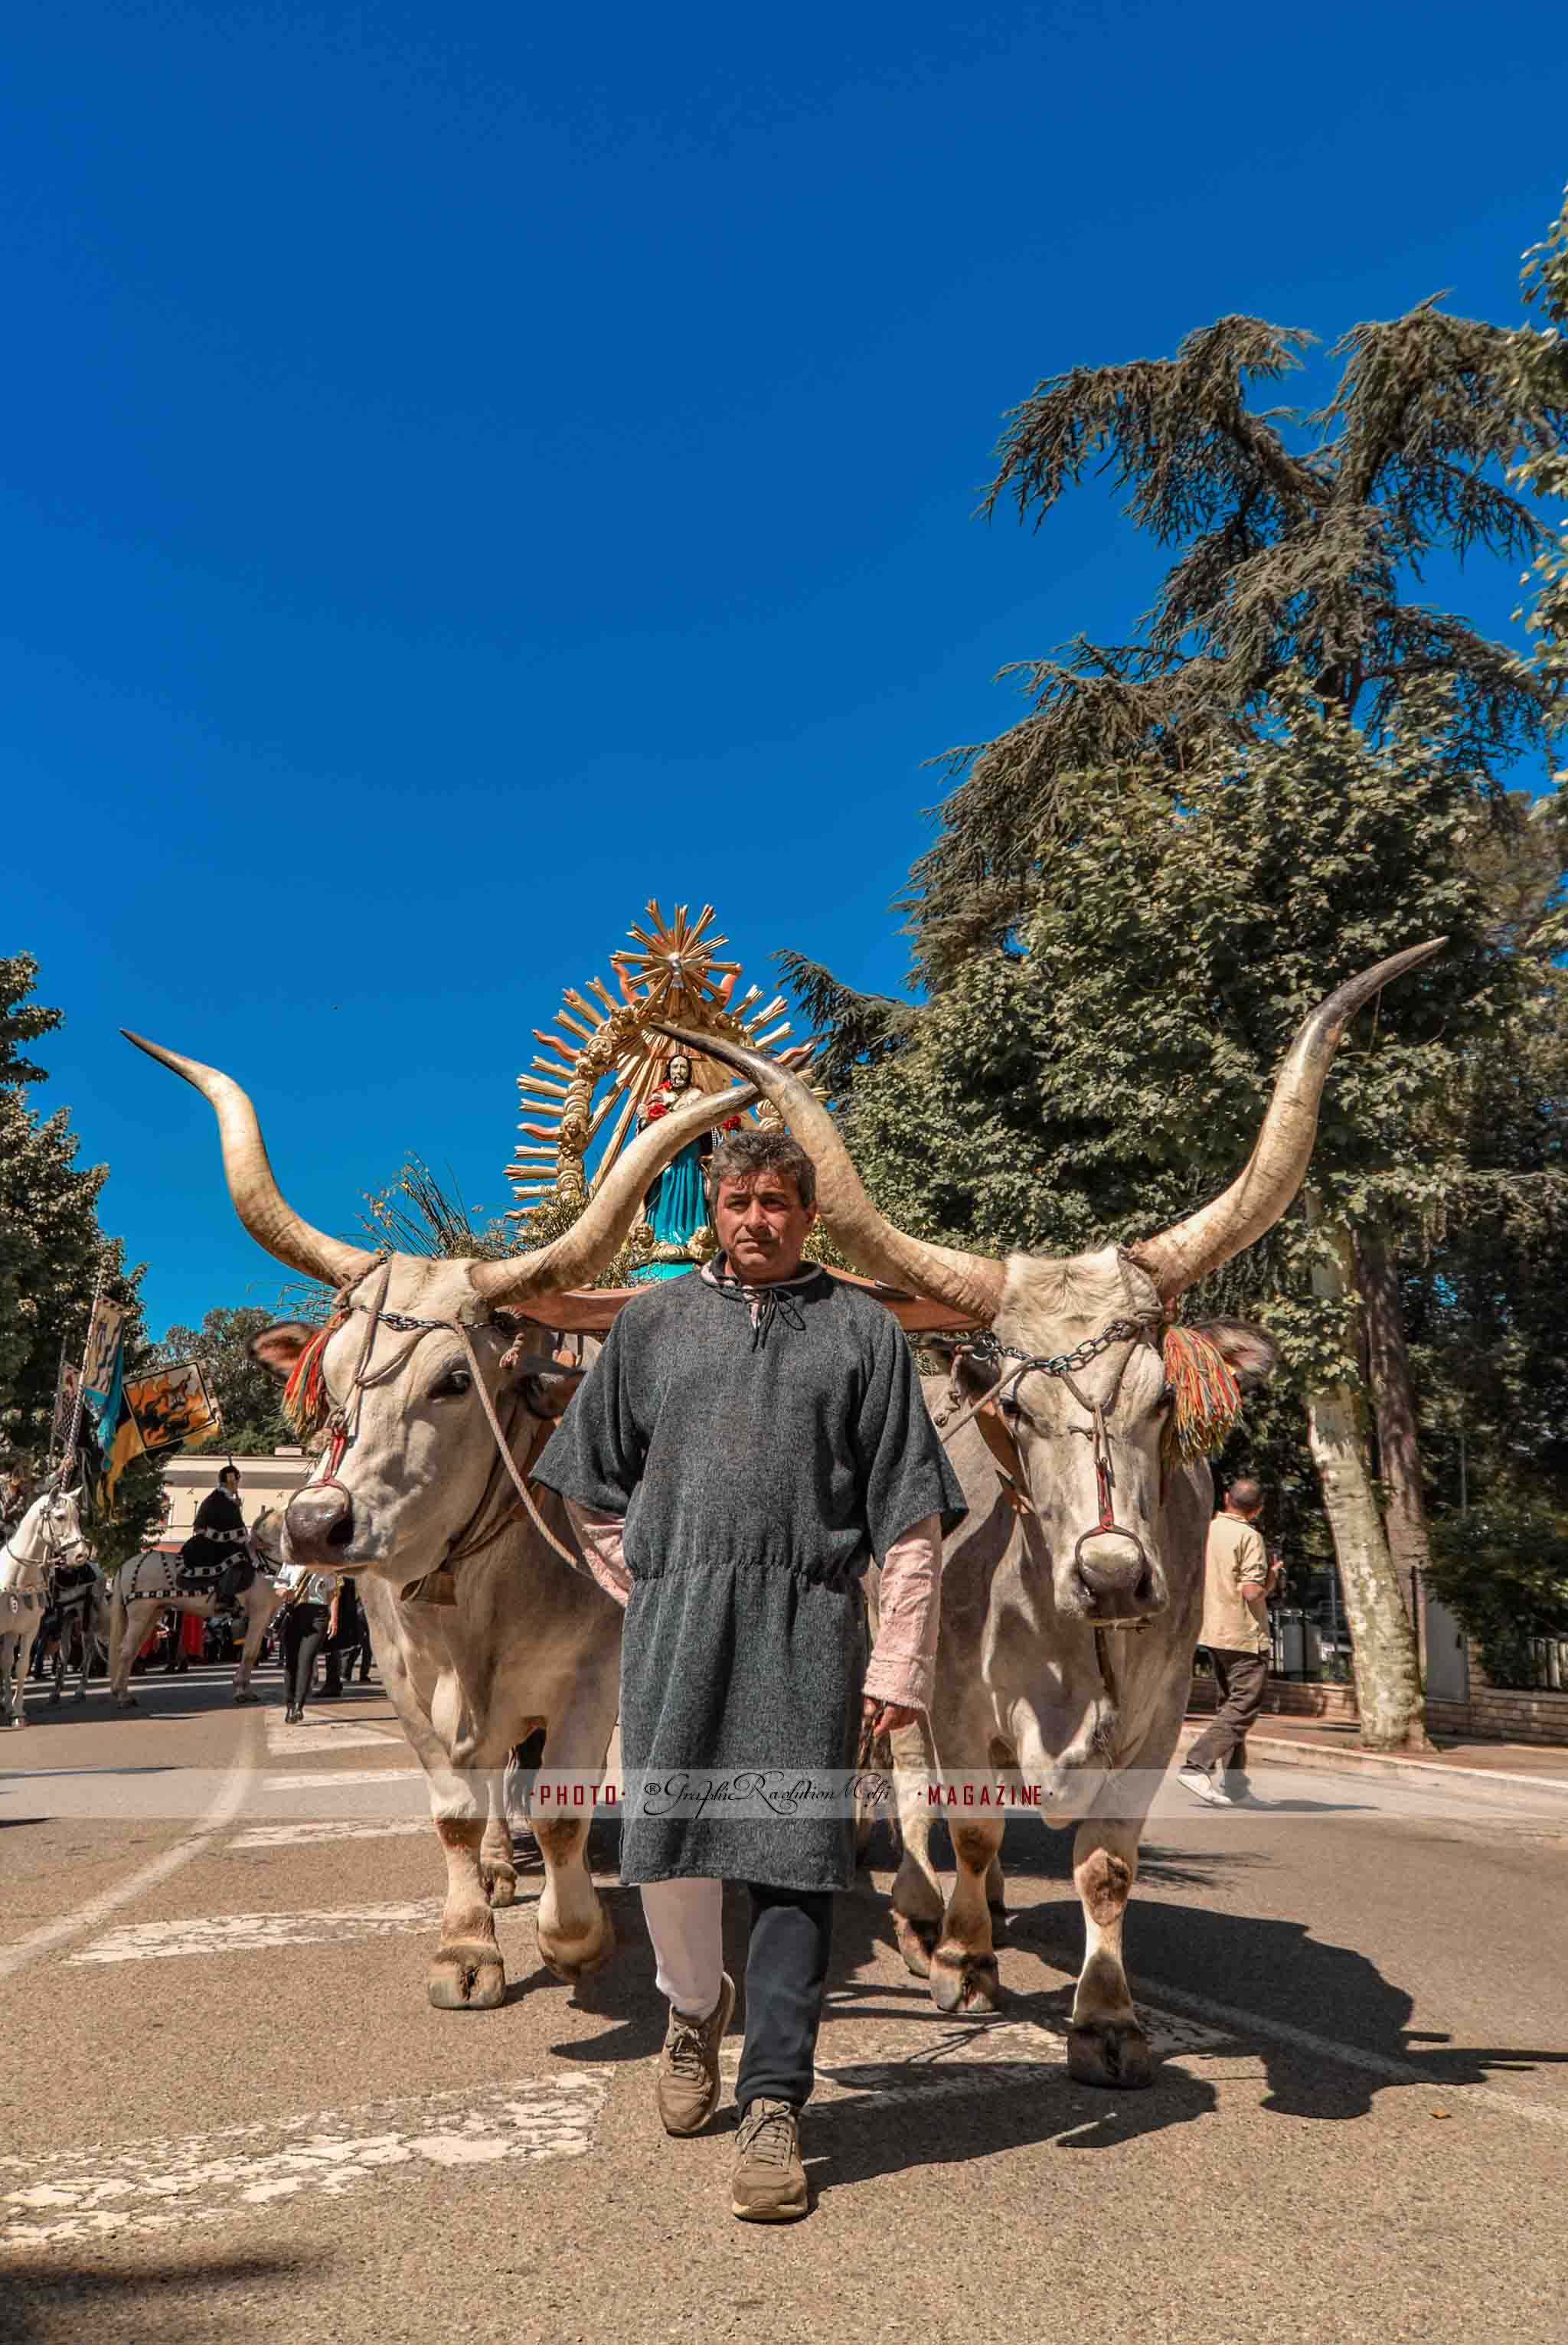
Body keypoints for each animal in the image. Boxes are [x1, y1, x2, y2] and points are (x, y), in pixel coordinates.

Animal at [0, 1491, 85, 1735]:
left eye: (78, 1517)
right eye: (60, 1516)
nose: (82, 1555)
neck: (17, 1577)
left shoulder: (29, 1630)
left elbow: (20, 1667)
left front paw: (17, 1712)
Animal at [108, 1510, 289, 1716]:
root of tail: (126, 1565)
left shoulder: (263, 1617)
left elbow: (252, 1651)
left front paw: (245, 1690)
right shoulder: (259, 1614)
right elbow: (250, 1653)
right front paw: (240, 1692)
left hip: (152, 1614)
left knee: (133, 1650)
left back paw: (122, 1691)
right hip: (140, 1614)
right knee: (126, 1650)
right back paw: (123, 1696)